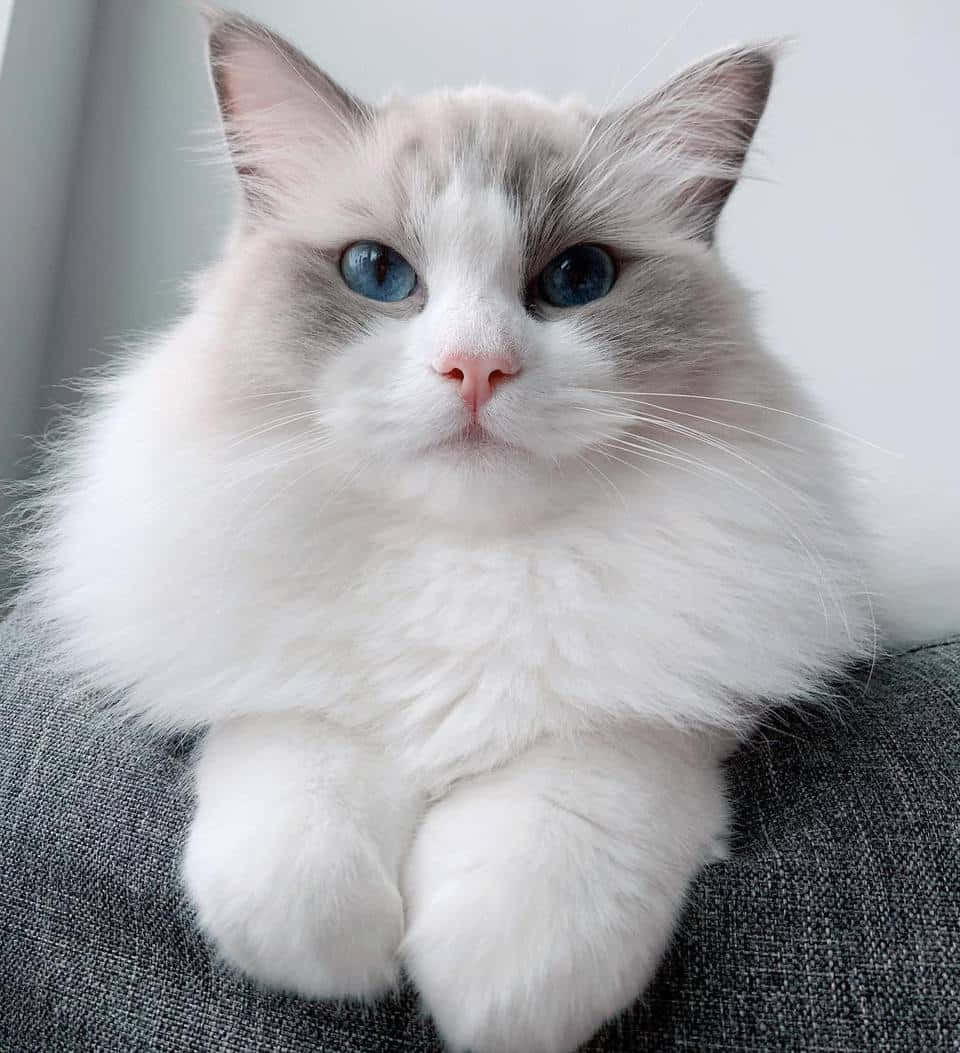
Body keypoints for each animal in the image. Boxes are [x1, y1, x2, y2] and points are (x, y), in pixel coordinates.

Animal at [18, 10, 875, 1053]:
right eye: (377, 272)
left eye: (577, 277)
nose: (476, 368)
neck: (465, 564)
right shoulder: (271, 669)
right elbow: (295, 794)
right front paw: (337, 964)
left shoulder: (666, 707)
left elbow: (569, 809)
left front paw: (501, 997)